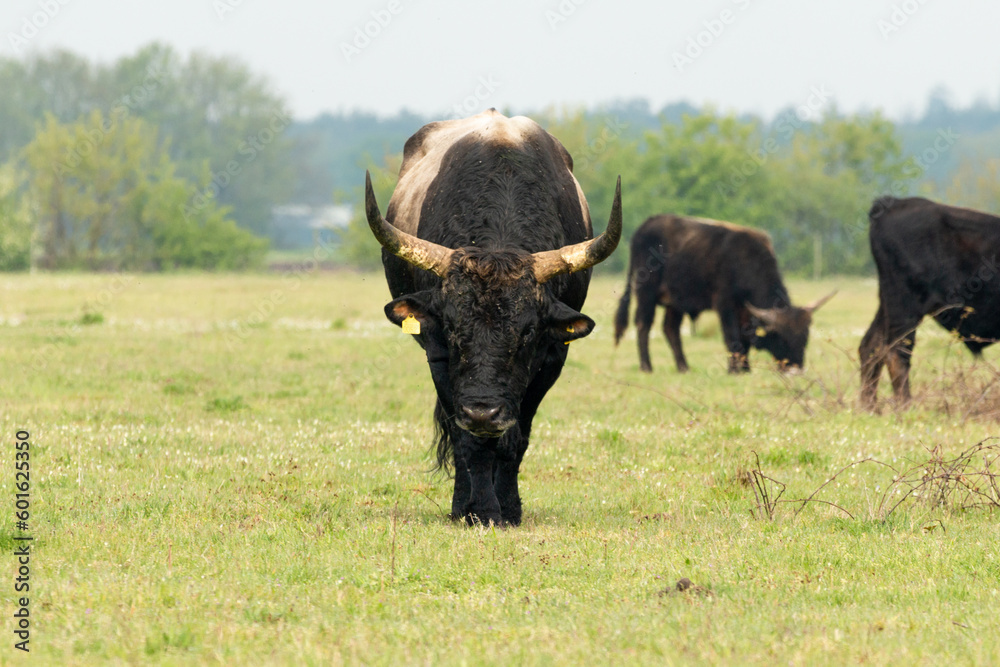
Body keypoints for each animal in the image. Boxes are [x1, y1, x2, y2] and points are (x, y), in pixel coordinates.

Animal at [612, 218, 832, 378]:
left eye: (804, 338)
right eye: (782, 338)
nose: (796, 370)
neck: (746, 263)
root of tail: (646, 225)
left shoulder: (745, 312)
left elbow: (744, 340)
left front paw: (745, 369)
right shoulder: (725, 305)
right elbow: (732, 337)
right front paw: (734, 370)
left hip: (675, 302)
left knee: (670, 329)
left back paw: (684, 367)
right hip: (646, 293)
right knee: (643, 325)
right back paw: (646, 366)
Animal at [860, 196, 1000, 410]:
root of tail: (894, 203)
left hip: (887, 306)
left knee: (871, 347)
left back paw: (869, 410)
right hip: (905, 308)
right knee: (897, 353)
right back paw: (905, 409)